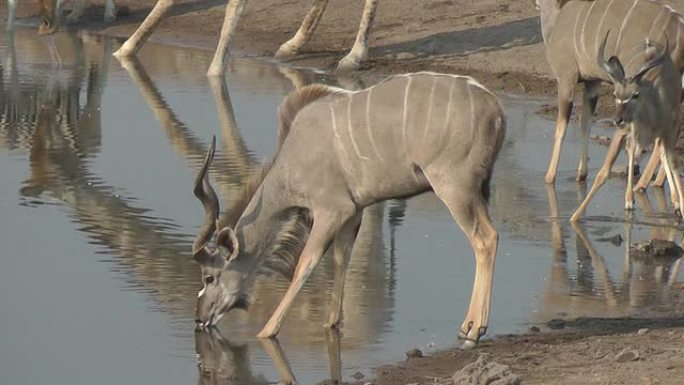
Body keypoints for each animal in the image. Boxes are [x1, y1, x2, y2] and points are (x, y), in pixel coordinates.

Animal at [190, 72, 504, 344]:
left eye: (209, 276)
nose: (200, 318)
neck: (292, 159)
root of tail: (495, 108)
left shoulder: (331, 211)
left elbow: (305, 264)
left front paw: (267, 330)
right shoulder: (354, 213)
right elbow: (343, 258)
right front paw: (331, 323)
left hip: (455, 189)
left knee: (485, 239)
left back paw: (473, 328)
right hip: (476, 192)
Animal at [536, 0, 684, 184]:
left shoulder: (566, 79)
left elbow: (561, 128)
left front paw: (549, 177)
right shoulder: (592, 83)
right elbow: (585, 123)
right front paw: (581, 174)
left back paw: (642, 183)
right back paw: (652, 182)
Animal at [572, 38, 684, 222]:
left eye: (635, 95)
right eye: (615, 94)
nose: (618, 119)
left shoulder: (668, 131)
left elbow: (674, 164)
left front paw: (680, 206)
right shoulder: (622, 133)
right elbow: (602, 173)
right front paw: (574, 216)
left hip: (667, 133)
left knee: (662, 154)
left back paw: (672, 202)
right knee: (640, 152)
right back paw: (630, 199)